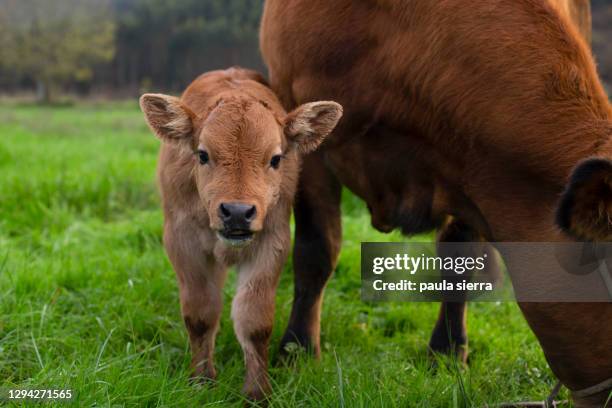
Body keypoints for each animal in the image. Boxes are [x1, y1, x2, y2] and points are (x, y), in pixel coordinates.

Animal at [139, 68, 344, 400]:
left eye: (275, 159)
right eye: (203, 155)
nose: (236, 212)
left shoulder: (272, 242)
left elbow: (255, 321)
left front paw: (257, 393)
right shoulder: (182, 242)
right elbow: (200, 315)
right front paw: (201, 382)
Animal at [260, 0, 608, 406]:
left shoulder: (475, 169)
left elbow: (459, 263)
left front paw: (447, 353)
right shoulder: (302, 125)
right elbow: (316, 251)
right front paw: (295, 352)